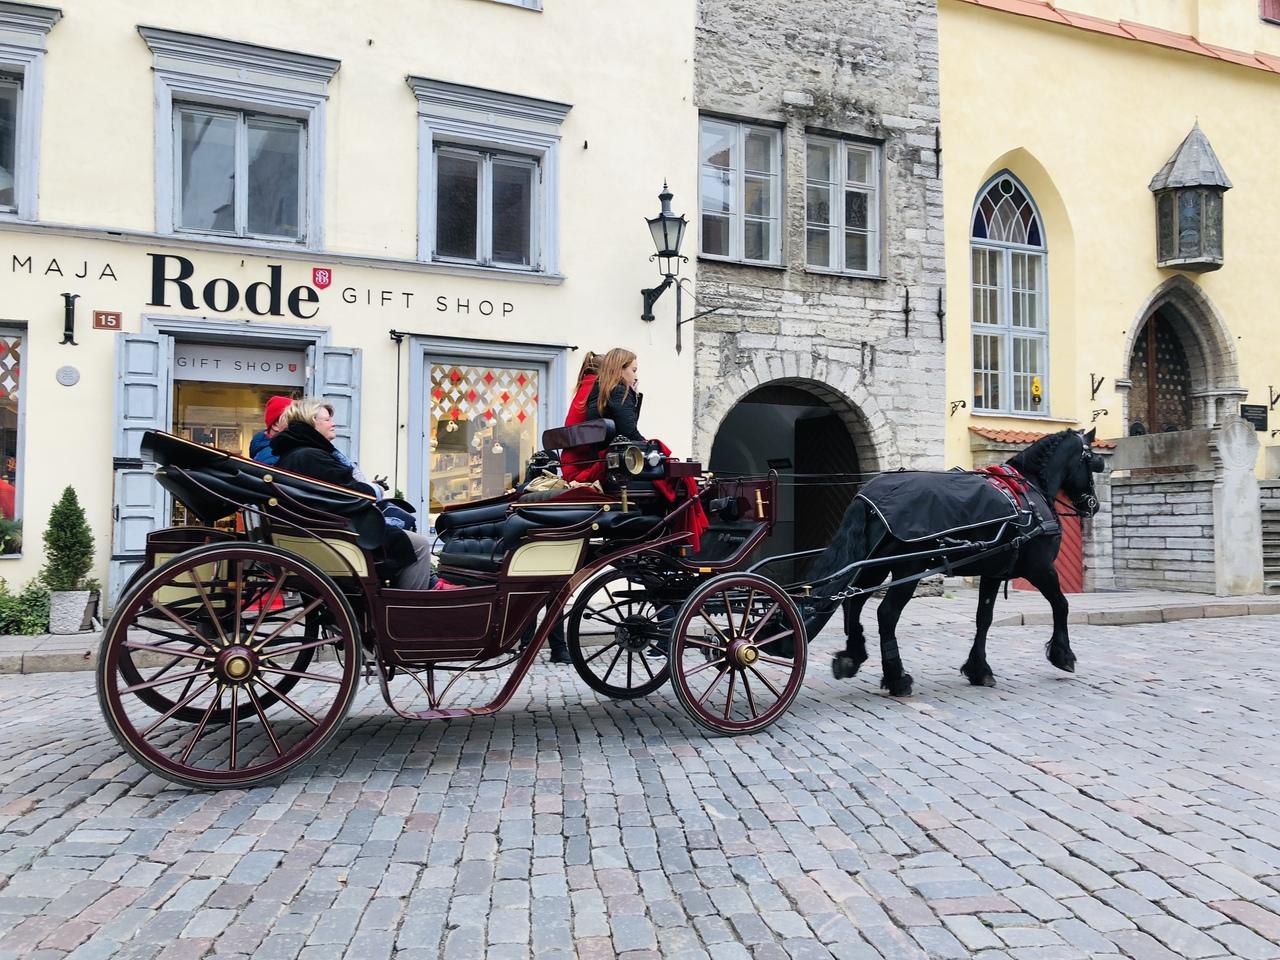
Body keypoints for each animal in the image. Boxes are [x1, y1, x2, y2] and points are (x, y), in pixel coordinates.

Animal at [799, 428, 1105, 697]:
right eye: (1092, 461)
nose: (1093, 504)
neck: (1028, 490)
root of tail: (872, 497)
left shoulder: (993, 572)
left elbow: (984, 618)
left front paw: (979, 669)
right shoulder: (1039, 568)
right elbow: (1061, 605)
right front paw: (1063, 655)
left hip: (875, 565)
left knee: (853, 602)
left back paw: (852, 656)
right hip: (908, 567)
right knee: (886, 613)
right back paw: (897, 678)